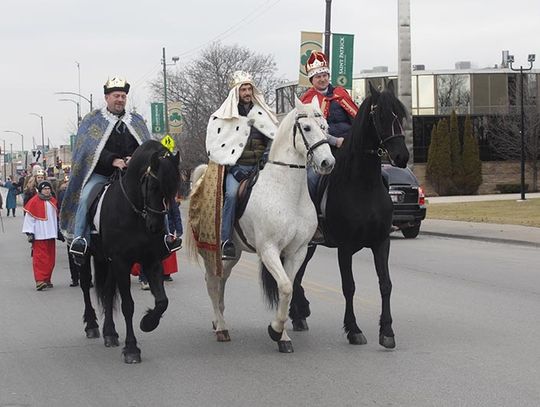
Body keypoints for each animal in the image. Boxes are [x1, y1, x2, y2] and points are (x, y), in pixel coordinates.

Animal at [76, 140, 179, 364]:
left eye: (174, 188)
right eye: (153, 186)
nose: (156, 226)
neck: (134, 213)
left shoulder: (151, 261)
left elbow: (162, 301)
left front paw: (148, 322)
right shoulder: (121, 262)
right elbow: (128, 306)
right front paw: (132, 348)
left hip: (108, 262)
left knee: (107, 292)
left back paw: (110, 333)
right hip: (86, 257)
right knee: (85, 286)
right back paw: (92, 325)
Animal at [188, 99, 336, 354]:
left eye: (324, 126)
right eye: (307, 128)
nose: (328, 162)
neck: (287, 192)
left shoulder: (297, 252)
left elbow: (288, 290)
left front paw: (282, 336)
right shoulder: (269, 250)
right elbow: (285, 287)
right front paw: (275, 330)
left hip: (233, 255)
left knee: (221, 281)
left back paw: (219, 320)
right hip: (211, 252)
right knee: (212, 282)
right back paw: (221, 328)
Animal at [292, 81, 410, 350]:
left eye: (401, 114)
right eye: (381, 115)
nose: (402, 157)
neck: (362, 185)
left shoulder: (381, 242)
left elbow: (385, 284)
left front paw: (387, 331)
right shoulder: (345, 248)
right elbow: (349, 287)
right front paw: (354, 329)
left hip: (309, 246)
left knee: (297, 274)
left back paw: (298, 314)